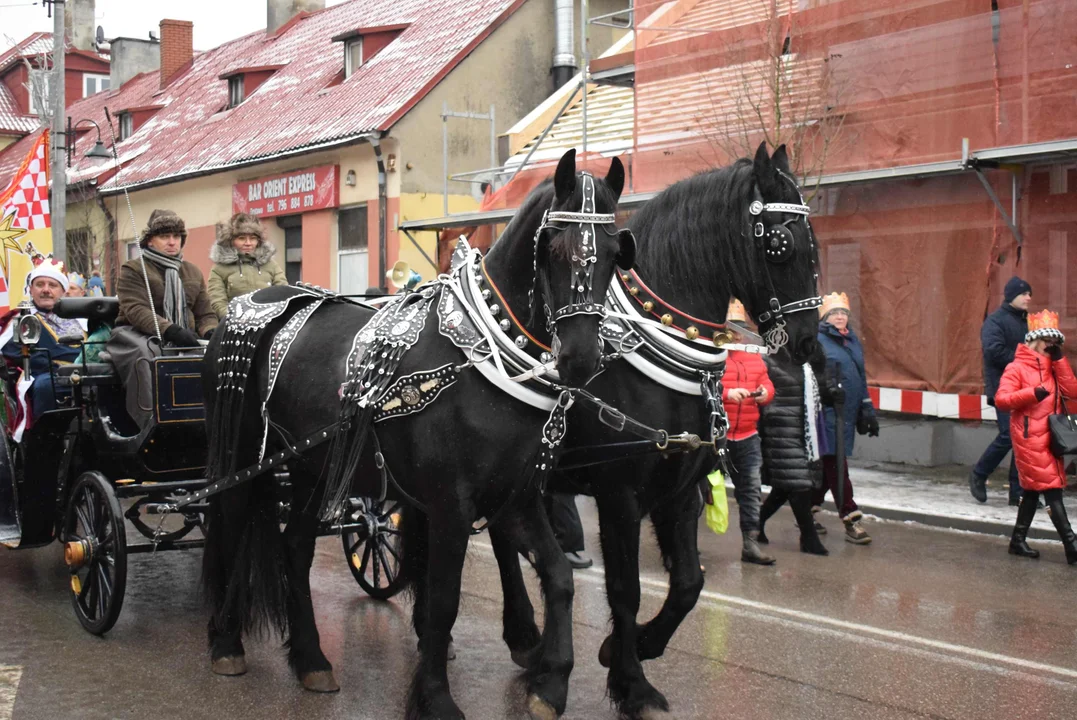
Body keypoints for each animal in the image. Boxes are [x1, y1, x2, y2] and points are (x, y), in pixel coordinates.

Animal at [200, 150, 628, 718]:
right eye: (554, 247)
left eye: (615, 255)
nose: (581, 359)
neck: (483, 360)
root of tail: (252, 300)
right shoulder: (450, 505)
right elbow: (443, 599)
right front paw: (436, 698)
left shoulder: (516, 497)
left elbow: (559, 578)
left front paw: (550, 684)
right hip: (242, 456)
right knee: (229, 532)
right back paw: (227, 643)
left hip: (314, 466)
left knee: (295, 547)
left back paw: (312, 659)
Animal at [493, 142, 818, 718]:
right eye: (779, 244)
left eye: (813, 240)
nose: (808, 340)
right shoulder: (620, 494)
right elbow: (626, 590)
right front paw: (632, 683)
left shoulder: (681, 489)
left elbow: (689, 583)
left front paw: (634, 648)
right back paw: (526, 636)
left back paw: (531, 643)